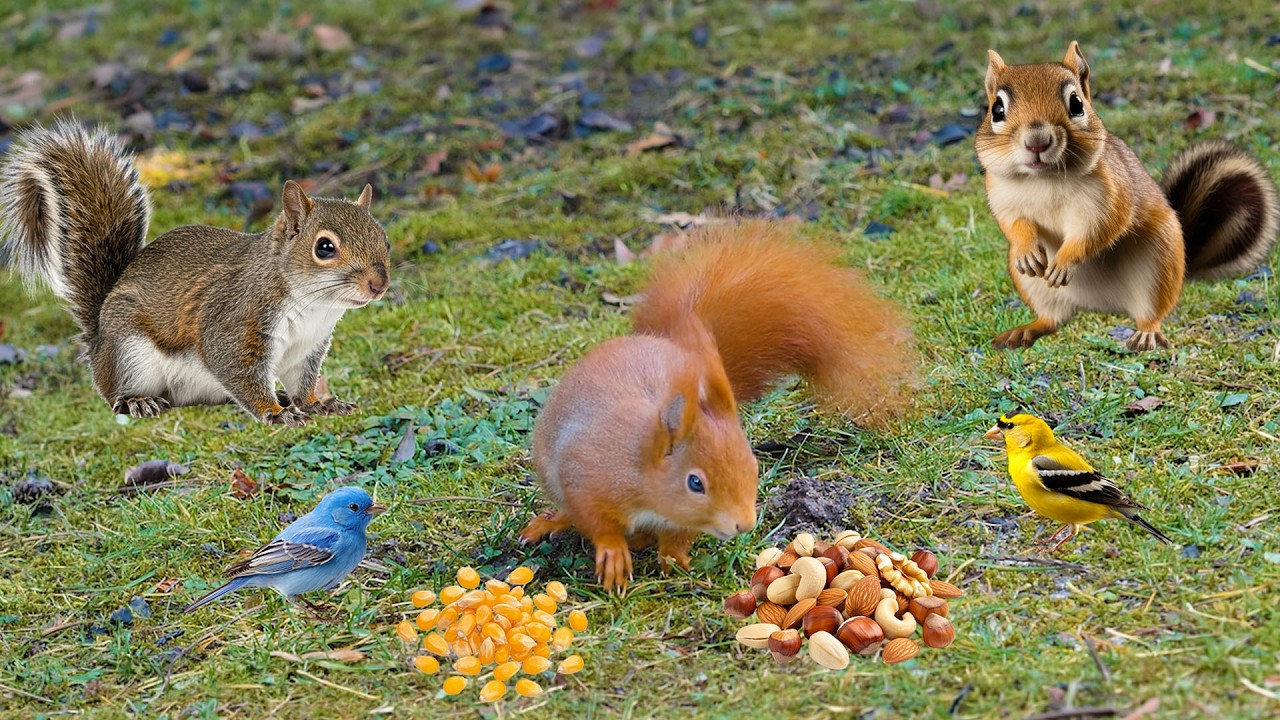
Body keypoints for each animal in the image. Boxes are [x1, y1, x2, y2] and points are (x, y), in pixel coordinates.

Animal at [0, 120, 391, 425]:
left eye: (383, 238)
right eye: (324, 247)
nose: (379, 285)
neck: (314, 306)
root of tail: (97, 339)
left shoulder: (308, 347)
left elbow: (303, 383)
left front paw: (319, 404)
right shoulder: (235, 322)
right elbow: (236, 369)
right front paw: (274, 413)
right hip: (130, 354)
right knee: (114, 394)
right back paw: (137, 401)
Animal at [518, 220, 919, 590]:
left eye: (753, 465)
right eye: (695, 483)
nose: (744, 523)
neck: (642, 472)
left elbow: (676, 537)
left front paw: (676, 559)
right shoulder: (586, 476)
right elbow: (595, 521)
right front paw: (614, 554)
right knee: (570, 512)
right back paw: (551, 522)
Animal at [976, 41, 1279, 351]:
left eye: (1077, 104)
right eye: (997, 109)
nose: (1037, 142)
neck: (1043, 179)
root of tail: (1102, 305)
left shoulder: (1108, 195)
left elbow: (1098, 229)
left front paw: (1064, 260)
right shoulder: (1003, 197)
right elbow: (1012, 224)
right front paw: (1027, 250)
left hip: (1157, 265)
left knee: (1151, 313)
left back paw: (1146, 334)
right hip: (1035, 287)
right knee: (1052, 319)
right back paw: (1023, 331)